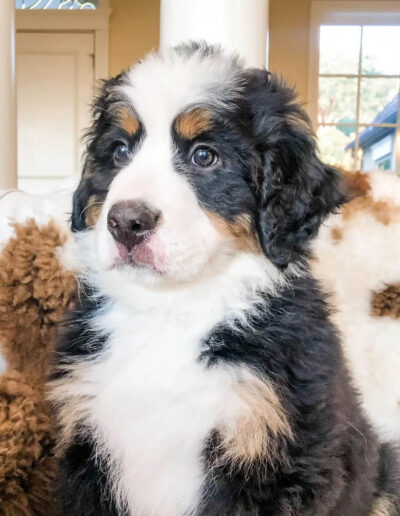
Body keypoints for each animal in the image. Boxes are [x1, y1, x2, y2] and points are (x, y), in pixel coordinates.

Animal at [50, 44, 400, 516]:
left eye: (204, 156)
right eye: (120, 151)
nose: (126, 222)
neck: (172, 310)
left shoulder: (274, 456)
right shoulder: (87, 457)